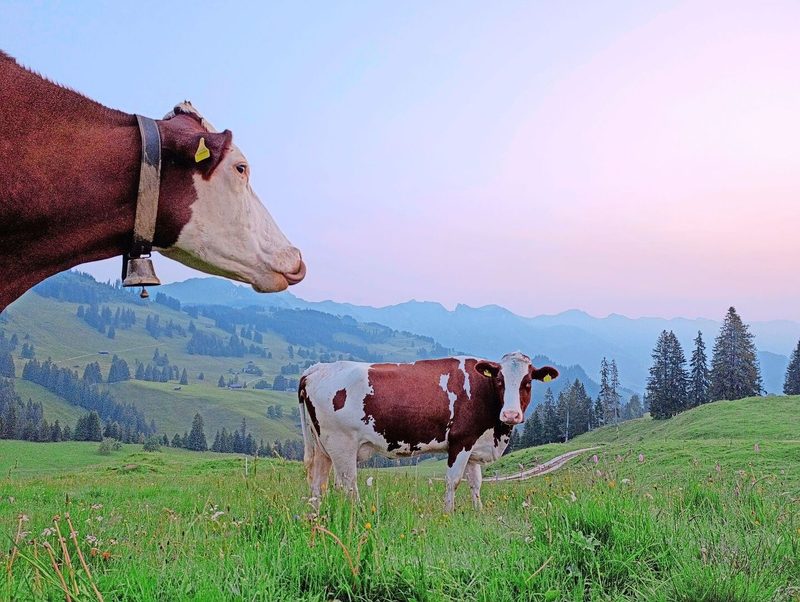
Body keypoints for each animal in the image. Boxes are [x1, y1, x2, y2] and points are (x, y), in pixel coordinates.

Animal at [298, 352, 559, 512]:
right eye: (500, 381)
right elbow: (453, 481)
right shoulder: (460, 441)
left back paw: (316, 516)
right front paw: (448, 513)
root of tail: (317, 369)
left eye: (527, 382)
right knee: (348, 483)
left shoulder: (474, 444)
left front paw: (478, 512)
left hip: (321, 447)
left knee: (317, 483)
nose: (511, 415)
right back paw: (359, 514)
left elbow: (476, 483)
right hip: (342, 444)